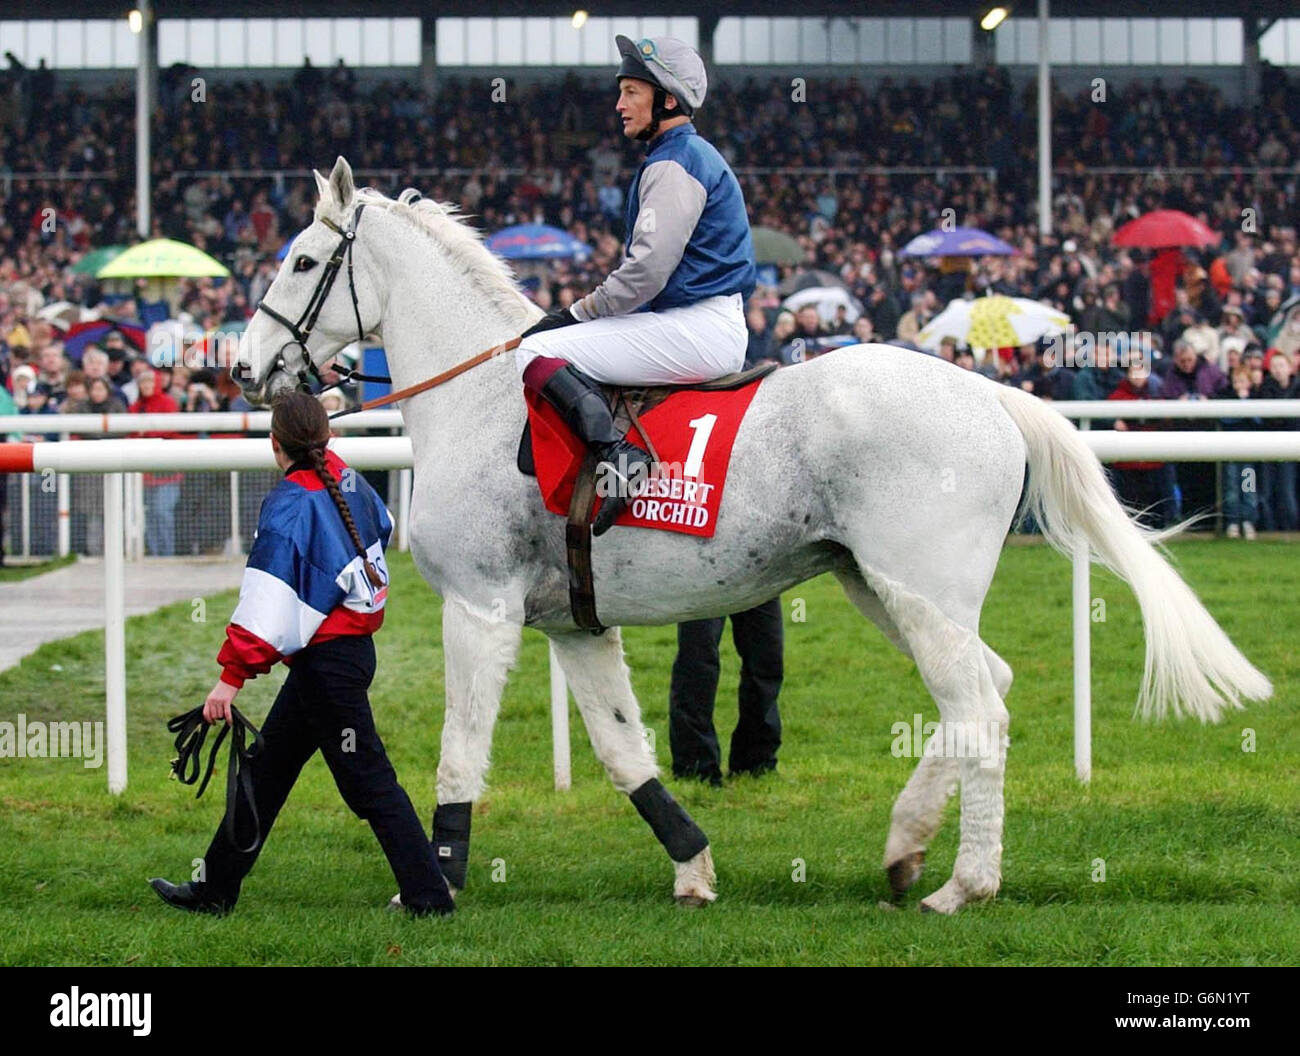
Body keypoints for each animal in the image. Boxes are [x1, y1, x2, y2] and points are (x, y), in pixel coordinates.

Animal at [233, 158, 1268, 915]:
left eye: (300, 261)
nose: (245, 365)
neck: (483, 397)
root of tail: (993, 394)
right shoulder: (572, 624)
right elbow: (625, 753)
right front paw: (693, 867)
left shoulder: (480, 608)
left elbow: (459, 749)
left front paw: (438, 881)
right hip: (878, 587)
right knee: (991, 688)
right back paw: (905, 846)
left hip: (917, 594)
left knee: (980, 711)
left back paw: (962, 885)